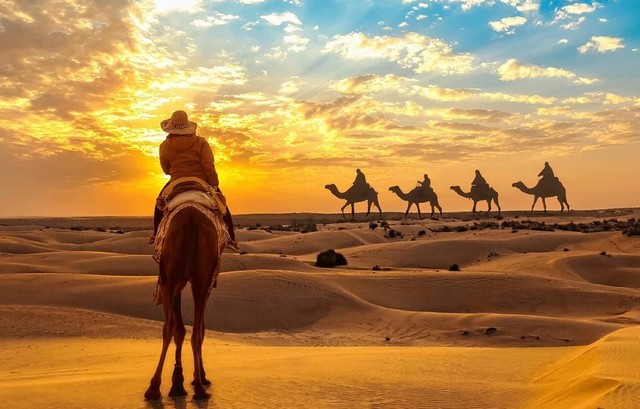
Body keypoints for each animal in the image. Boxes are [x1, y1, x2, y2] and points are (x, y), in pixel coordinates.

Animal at [144, 205, 227, 401]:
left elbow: (182, 329)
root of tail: (191, 220)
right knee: (191, 330)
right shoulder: (201, 285)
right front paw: (187, 379)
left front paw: (180, 381)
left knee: (171, 326)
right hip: (194, 280)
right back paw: (197, 387)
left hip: (171, 279)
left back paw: (155, 387)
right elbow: (191, 329)